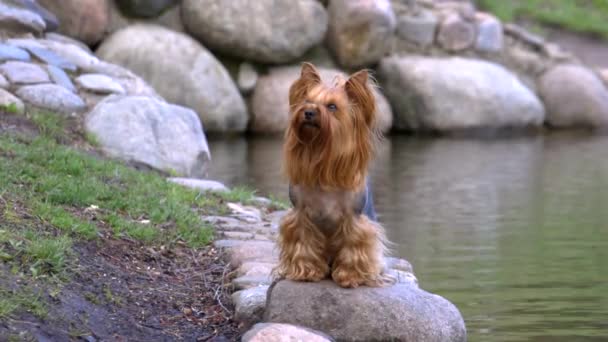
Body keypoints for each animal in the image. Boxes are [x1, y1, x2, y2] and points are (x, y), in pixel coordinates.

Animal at [274, 62, 392, 288]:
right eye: (307, 101)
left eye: (332, 107)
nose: (308, 112)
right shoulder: (301, 215)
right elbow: (303, 241)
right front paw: (306, 272)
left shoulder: (354, 220)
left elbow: (353, 246)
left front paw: (350, 276)